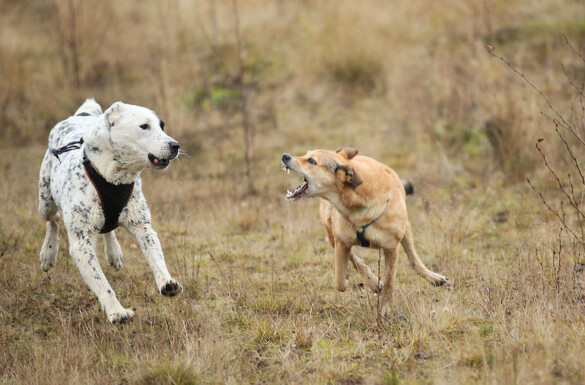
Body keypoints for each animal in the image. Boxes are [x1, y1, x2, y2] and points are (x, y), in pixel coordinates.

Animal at [38, 98, 181, 320]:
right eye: (144, 126)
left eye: (162, 126)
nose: (175, 145)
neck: (113, 178)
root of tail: (79, 116)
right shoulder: (82, 244)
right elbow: (102, 283)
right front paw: (117, 311)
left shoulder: (143, 226)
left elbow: (156, 258)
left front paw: (167, 282)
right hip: (45, 200)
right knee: (53, 220)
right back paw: (48, 253)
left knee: (108, 227)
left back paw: (114, 253)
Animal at [280, 147, 444, 308]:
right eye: (306, 154)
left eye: (312, 161)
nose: (285, 156)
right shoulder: (341, 241)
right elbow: (340, 282)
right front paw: (370, 282)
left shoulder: (392, 247)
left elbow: (390, 280)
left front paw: (385, 307)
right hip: (331, 232)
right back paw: (372, 281)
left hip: (406, 229)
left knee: (413, 258)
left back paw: (434, 277)